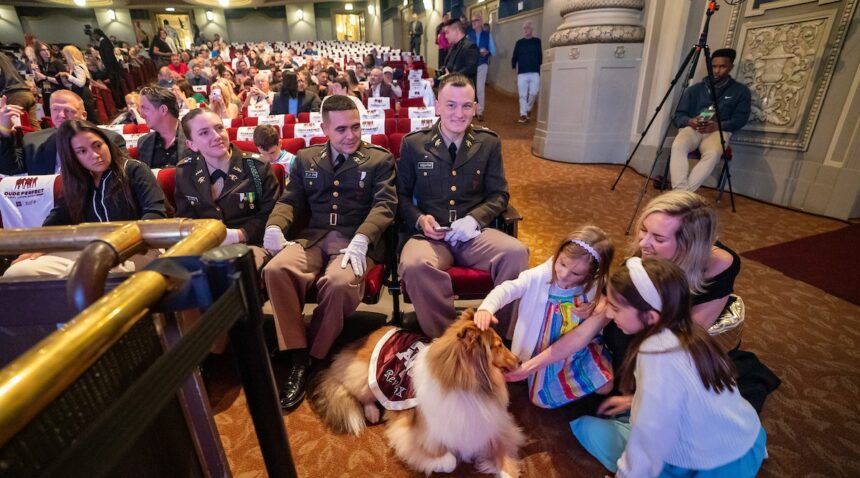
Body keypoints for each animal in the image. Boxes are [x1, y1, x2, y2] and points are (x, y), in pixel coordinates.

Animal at [310, 310, 524, 474]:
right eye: (498, 346)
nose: (521, 361)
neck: (468, 387)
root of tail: (380, 330)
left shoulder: (492, 425)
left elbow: (503, 455)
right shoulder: (413, 433)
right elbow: (449, 461)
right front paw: (445, 462)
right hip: (363, 377)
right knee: (358, 393)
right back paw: (372, 413)